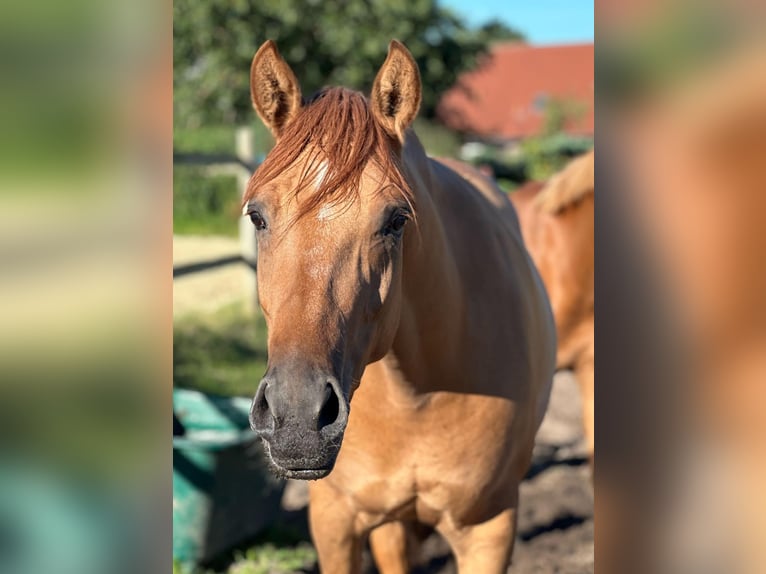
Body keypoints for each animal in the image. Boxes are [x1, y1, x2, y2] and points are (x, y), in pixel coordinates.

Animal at [246, 39, 560, 572]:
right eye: (256, 216)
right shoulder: (334, 521)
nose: (297, 416)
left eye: (396, 220)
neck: (416, 392)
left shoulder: (490, 529)